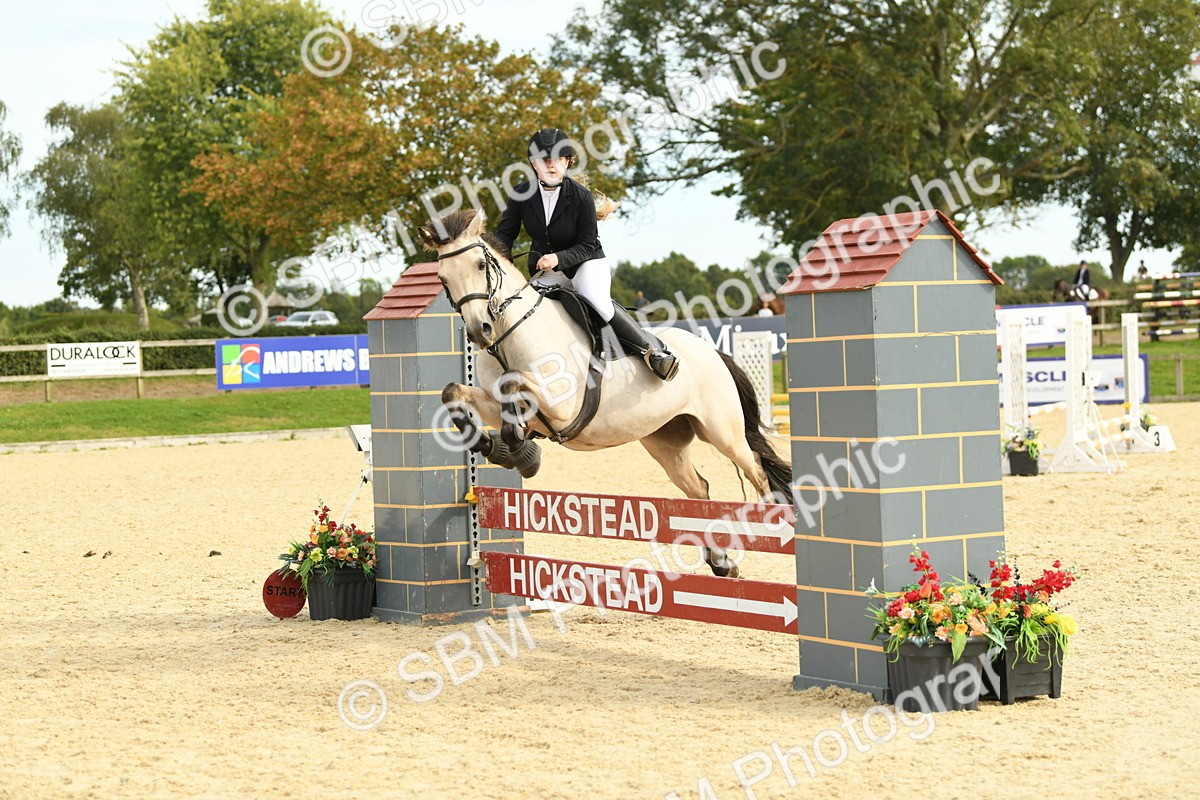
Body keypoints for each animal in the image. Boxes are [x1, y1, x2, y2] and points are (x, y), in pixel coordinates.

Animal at [418, 209, 793, 578]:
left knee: (757, 471)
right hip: (665, 442)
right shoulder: (495, 404)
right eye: (442, 278)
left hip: (723, 433)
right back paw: (722, 562)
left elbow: (514, 387)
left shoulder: (562, 405)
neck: (510, 332)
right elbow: (453, 393)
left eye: (480, 266)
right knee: (699, 489)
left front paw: (524, 455)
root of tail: (712, 351)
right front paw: (498, 449)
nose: (479, 331)